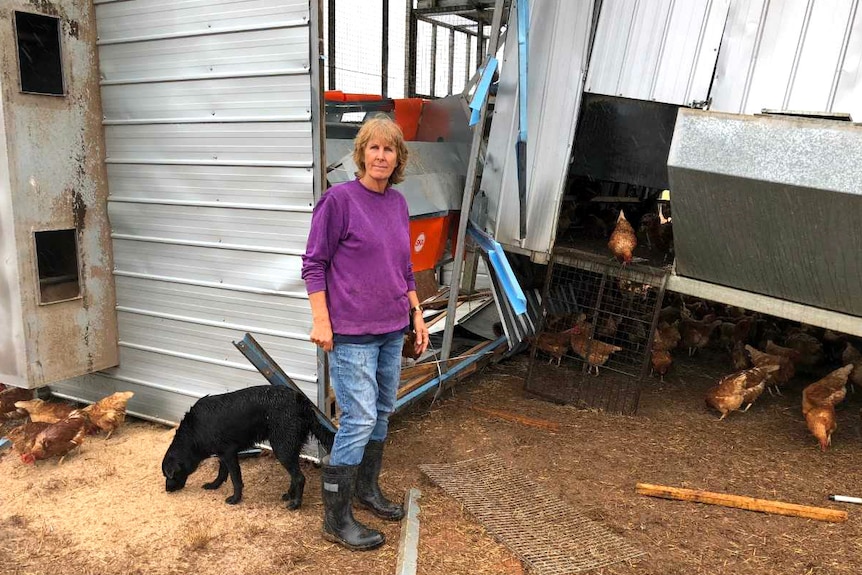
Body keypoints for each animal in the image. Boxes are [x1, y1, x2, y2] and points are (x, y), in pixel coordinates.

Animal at [162, 388, 334, 508]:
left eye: (170, 475)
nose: (167, 490)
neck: (194, 430)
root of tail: (302, 402)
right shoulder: (222, 453)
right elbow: (222, 472)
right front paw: (214, 485)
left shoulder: (229, 453)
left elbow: (235, 479)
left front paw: (235, 499)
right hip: (290, 447)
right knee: (294, 475)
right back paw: (289, 495)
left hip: (282, 447)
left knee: (299, 477)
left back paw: (296, 503)